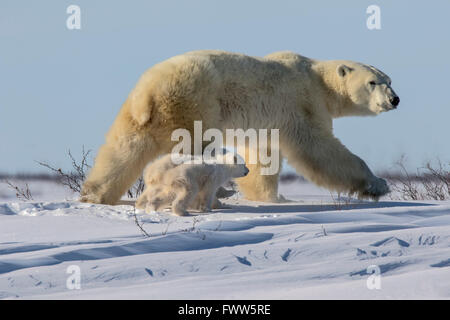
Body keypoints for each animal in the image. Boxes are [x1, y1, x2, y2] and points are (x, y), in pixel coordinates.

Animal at [79, 50, 400, 205]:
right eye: (373, 82)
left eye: (389, 80)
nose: (395, 99)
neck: (318, 80)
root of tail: (148, 91)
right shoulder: (302, 104)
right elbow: (320, 149)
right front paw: (377, 185)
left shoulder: (270, 123)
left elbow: (264, 156)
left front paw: (271, 197)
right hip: (195, 101)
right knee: (195, 144)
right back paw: (220, 190)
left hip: (141, 114)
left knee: (124, 148)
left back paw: (95, 194)